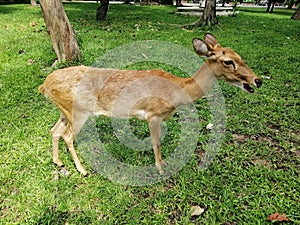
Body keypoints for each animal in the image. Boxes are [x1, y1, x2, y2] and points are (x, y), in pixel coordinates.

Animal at [39, 34, 262, 177]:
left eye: (240, 56)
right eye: (228, 61)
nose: (257, 81)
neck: (177, 91)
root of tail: (45, 85)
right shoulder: (153, 114)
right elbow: (156, 143)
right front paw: (161, 169)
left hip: (64, 110)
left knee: (54, 130)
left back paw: (58, 161)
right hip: (78, 111)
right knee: (68, 136)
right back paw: (82, 170)